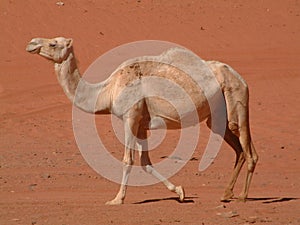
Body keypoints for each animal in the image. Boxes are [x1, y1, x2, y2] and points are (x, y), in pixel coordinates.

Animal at [25, 36, 258, 204]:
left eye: (53, 43)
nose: (32, 43)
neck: (107, 90)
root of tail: (241, 78)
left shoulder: (130, 116)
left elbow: (128, 160)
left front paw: (117, 199)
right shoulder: (141, 124)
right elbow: (145, 162)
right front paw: (180, 192)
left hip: (236, 98)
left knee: (248, 148)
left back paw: (243, 196)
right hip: (217, 117)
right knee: (238, 149)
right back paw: (226, 194)